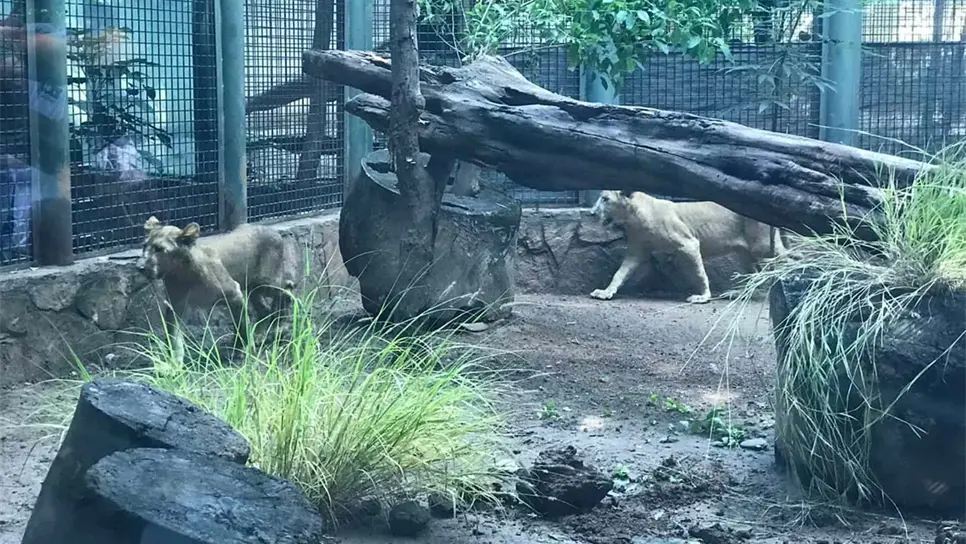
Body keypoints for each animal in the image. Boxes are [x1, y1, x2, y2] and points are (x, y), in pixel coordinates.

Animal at [588, 190, 785, 304]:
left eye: (605, 198)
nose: (591, 213)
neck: (633, 217)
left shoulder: (689, 243)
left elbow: (699, 273)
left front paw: (703, 297)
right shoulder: (637, 251)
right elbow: (620, 273)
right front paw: (605, 292)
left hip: (761, 245)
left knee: (783, 257)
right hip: (745, 251)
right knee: (755, 272)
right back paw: (738, 294)